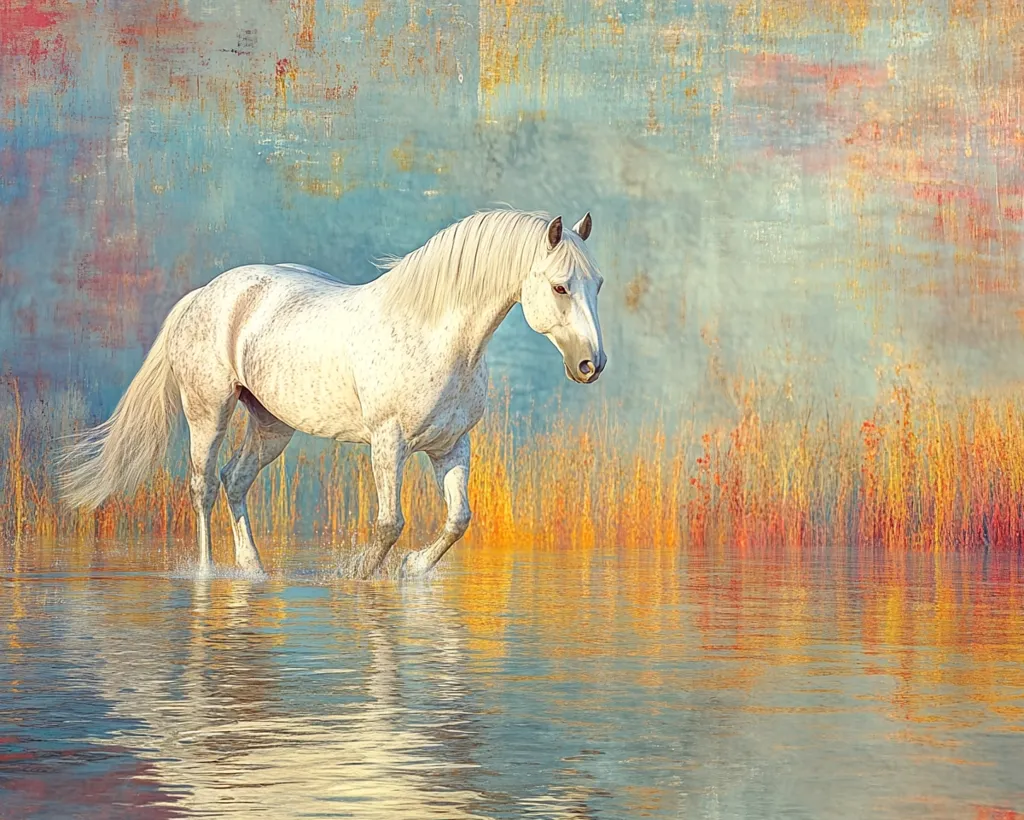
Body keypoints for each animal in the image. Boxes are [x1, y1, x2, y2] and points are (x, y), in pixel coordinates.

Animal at [56, 208, 607, 579]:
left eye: (597, 283)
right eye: (560, 287)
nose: (591, 365)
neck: (437, 335)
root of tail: (205, 294)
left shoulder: (451, 446)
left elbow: (458, 520)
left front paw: (412, 569)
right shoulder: (389, 443)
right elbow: (390, 522)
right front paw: (360, 575)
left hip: (272, 425)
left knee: (236, 481)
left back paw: (254, 570)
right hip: (207, 413)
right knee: (204, 486)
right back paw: (209, 574)